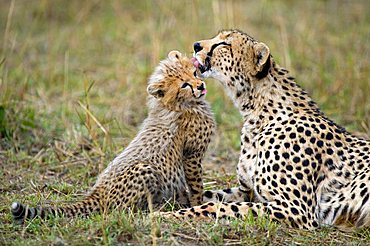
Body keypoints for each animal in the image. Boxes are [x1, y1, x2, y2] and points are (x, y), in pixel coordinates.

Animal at [11, 50, 215, 223]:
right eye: (184, 85)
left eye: (194, 73)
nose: (200, 86)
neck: (179, 104)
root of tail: (97, 192)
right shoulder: (192, 155)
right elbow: (196, 186)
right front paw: (198, 205)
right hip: (144, 168)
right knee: (120, 211)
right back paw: (157, 207)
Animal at [163, 29, 370, 230]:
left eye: (224, 43)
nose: (196, 45)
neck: (257, 113)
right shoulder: (247, 191)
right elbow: (206, 196)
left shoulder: (298, 210)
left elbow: (216, 206)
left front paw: (166, 216)